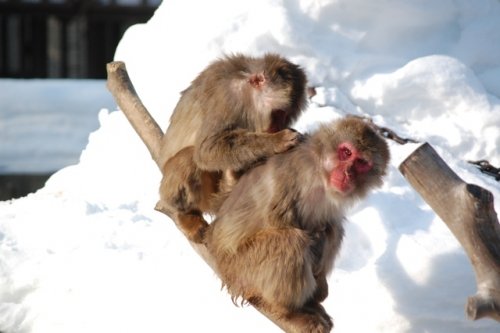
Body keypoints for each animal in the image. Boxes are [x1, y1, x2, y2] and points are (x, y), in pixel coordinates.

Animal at [157, 52, 308, 241]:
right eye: (279, 114)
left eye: (286, 116)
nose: (279, 126)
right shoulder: (226, 98)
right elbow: (206, 150)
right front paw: (277, 141)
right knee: (188, 158)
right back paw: (185, 214)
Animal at [204, 115, 390, 330]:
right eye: (346, 152)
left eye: (361, 162)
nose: (348, 173)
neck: (320, 172)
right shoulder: (297, 173)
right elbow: (279, 220)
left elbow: (329, 224)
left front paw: (321, 281)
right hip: (240, 269)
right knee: (291, 241)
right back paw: (289, 311)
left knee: (334, 229)